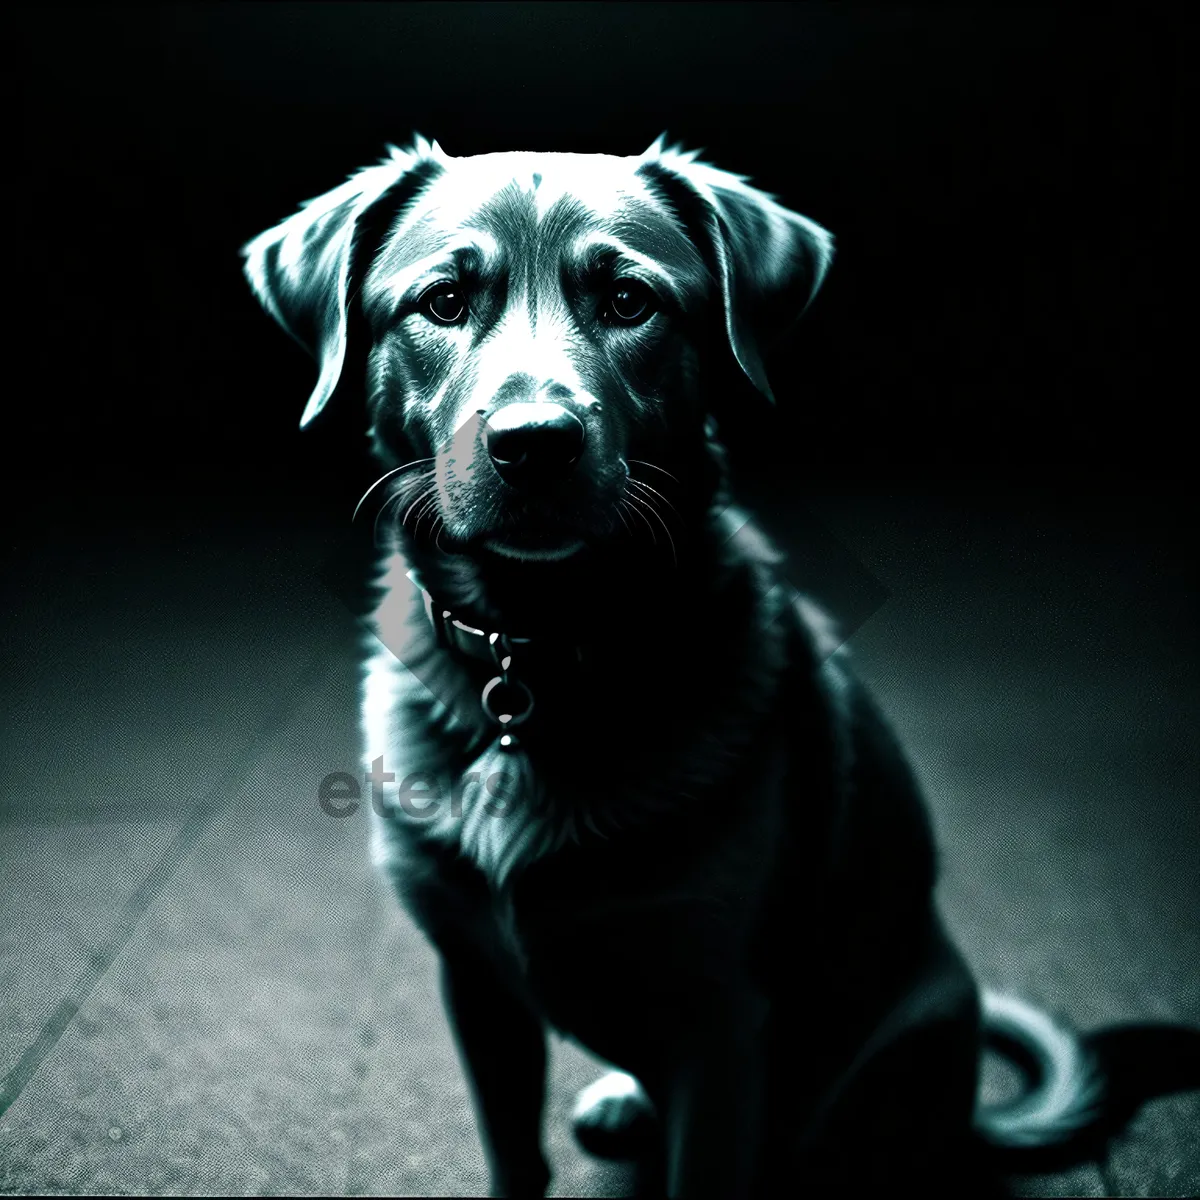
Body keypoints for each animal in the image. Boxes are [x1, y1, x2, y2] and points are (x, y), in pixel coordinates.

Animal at [238, 138, 1108, 1190]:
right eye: (442, 302)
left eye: (628, 300)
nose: (534, 445)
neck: (538, 650)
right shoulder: (478, 990)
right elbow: (513, 1155)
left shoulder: (719, 1028)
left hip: (902, 1045)